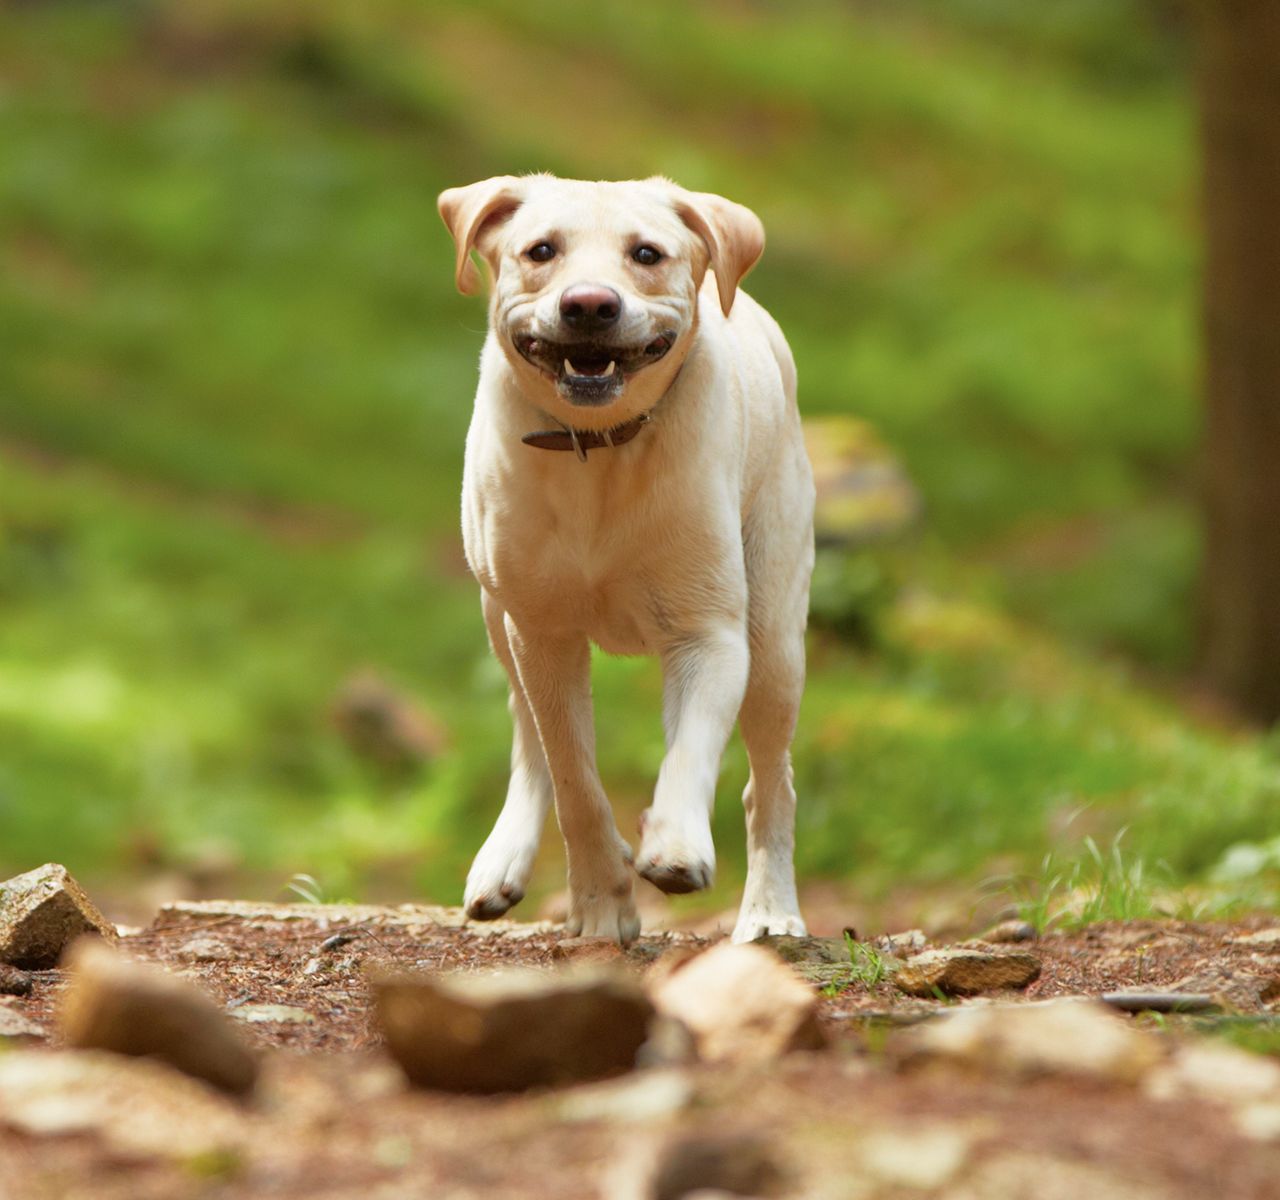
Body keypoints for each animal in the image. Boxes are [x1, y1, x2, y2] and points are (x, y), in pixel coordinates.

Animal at [437, 172, 808, 941]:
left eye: (646, 254)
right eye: (540, 251)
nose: (588, 304)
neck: (597, 448)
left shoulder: (709, 632)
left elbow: (691, 752)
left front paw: (675, 847)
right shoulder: (541, 630)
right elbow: (573, 776)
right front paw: (601, 905)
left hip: (775, 636)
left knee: (769, 781)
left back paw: (769, 912)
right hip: (497, 615)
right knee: (529, 737)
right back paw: (503, 860)